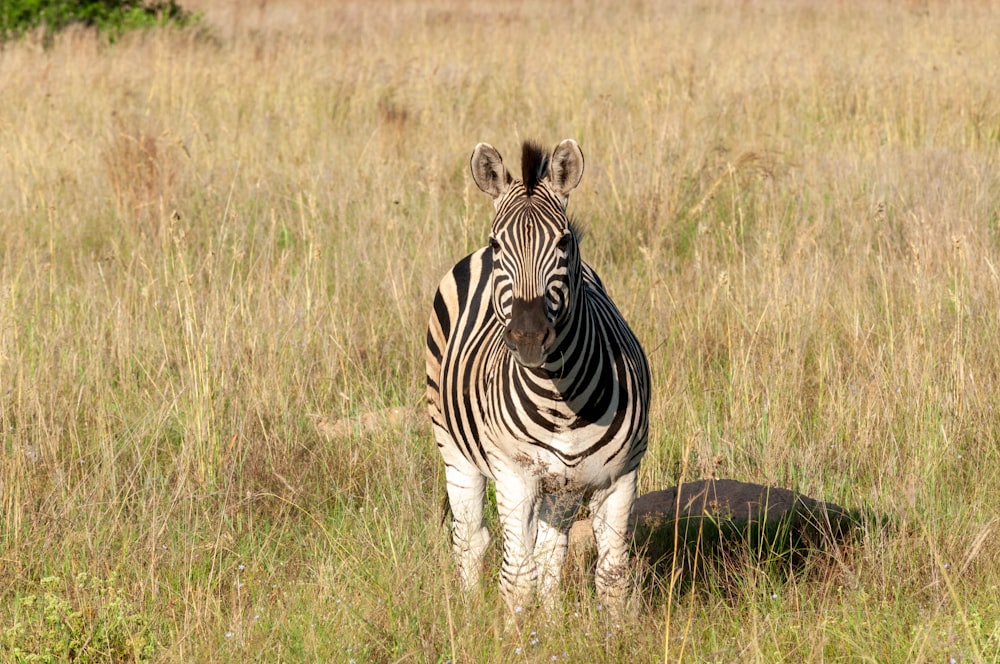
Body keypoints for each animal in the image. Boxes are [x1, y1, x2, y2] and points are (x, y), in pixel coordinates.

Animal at [426, 139, 652, 612]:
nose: (528, 336)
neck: (560, 401)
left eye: (564, 241)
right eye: (497, 244)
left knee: (551, 550)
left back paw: (547, 621)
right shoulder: (514, 475)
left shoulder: (621, 477)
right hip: (453, 447)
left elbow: (612, 576)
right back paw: (470, 612)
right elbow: (516, 577)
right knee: (471, 539)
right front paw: (512, 628)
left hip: (562, 487)